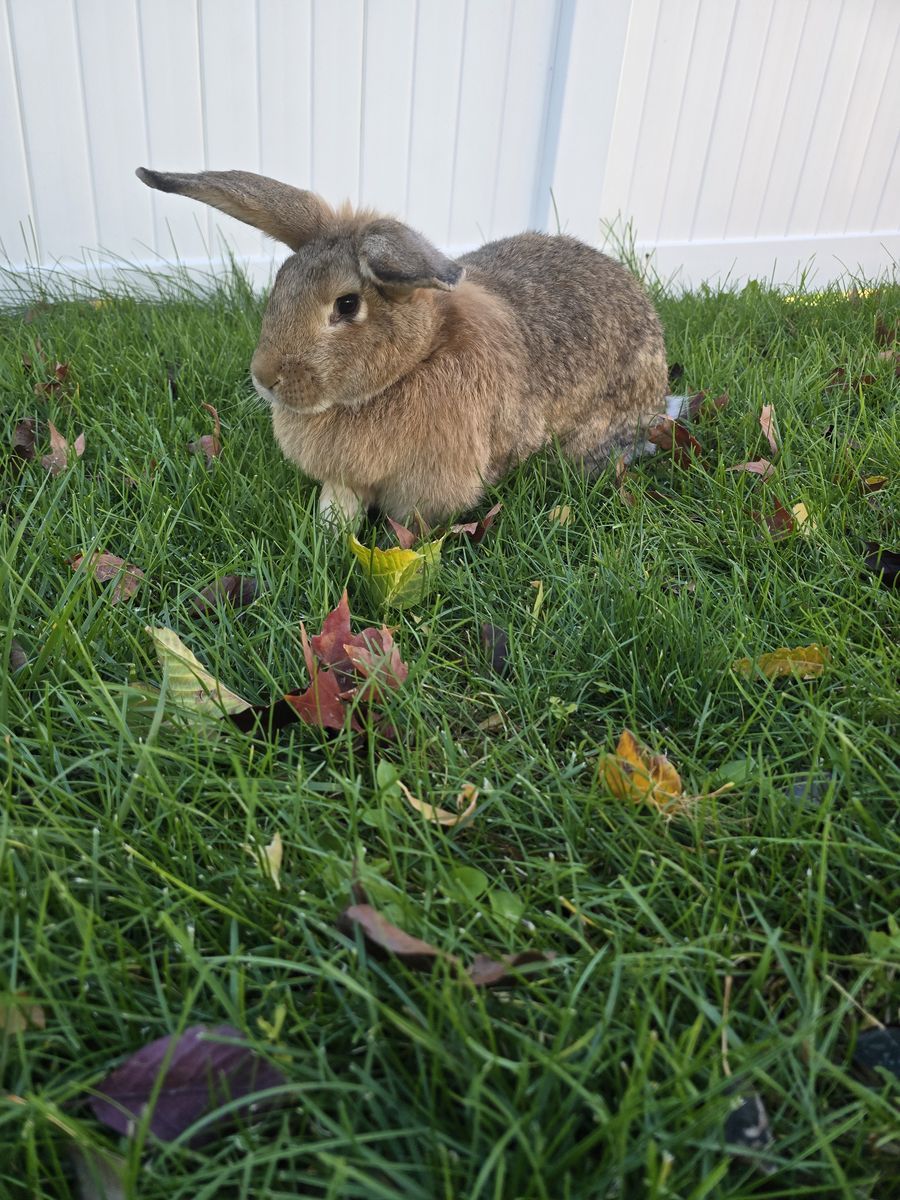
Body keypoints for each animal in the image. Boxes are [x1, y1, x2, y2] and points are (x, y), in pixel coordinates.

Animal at [136, 167, 669, 526]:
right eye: (281, 283)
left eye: (347, 305)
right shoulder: (345, 478)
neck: (417, 360)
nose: (265, 377)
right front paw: (328, 536)